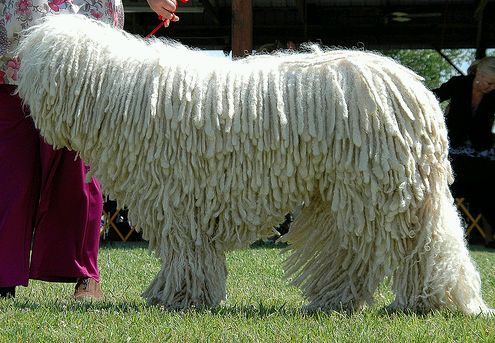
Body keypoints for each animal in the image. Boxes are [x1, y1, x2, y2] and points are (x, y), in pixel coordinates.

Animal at [15, 14, 492, 314]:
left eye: (38, 61)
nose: (12, 71)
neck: (124, 93)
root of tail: (418, 90)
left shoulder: (180, 198)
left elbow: (186, 252)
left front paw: (178, 298)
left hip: (382, 187)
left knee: (415, 247)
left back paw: (432, 302)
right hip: (345, 194)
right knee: (358, 251)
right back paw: (339, 299)